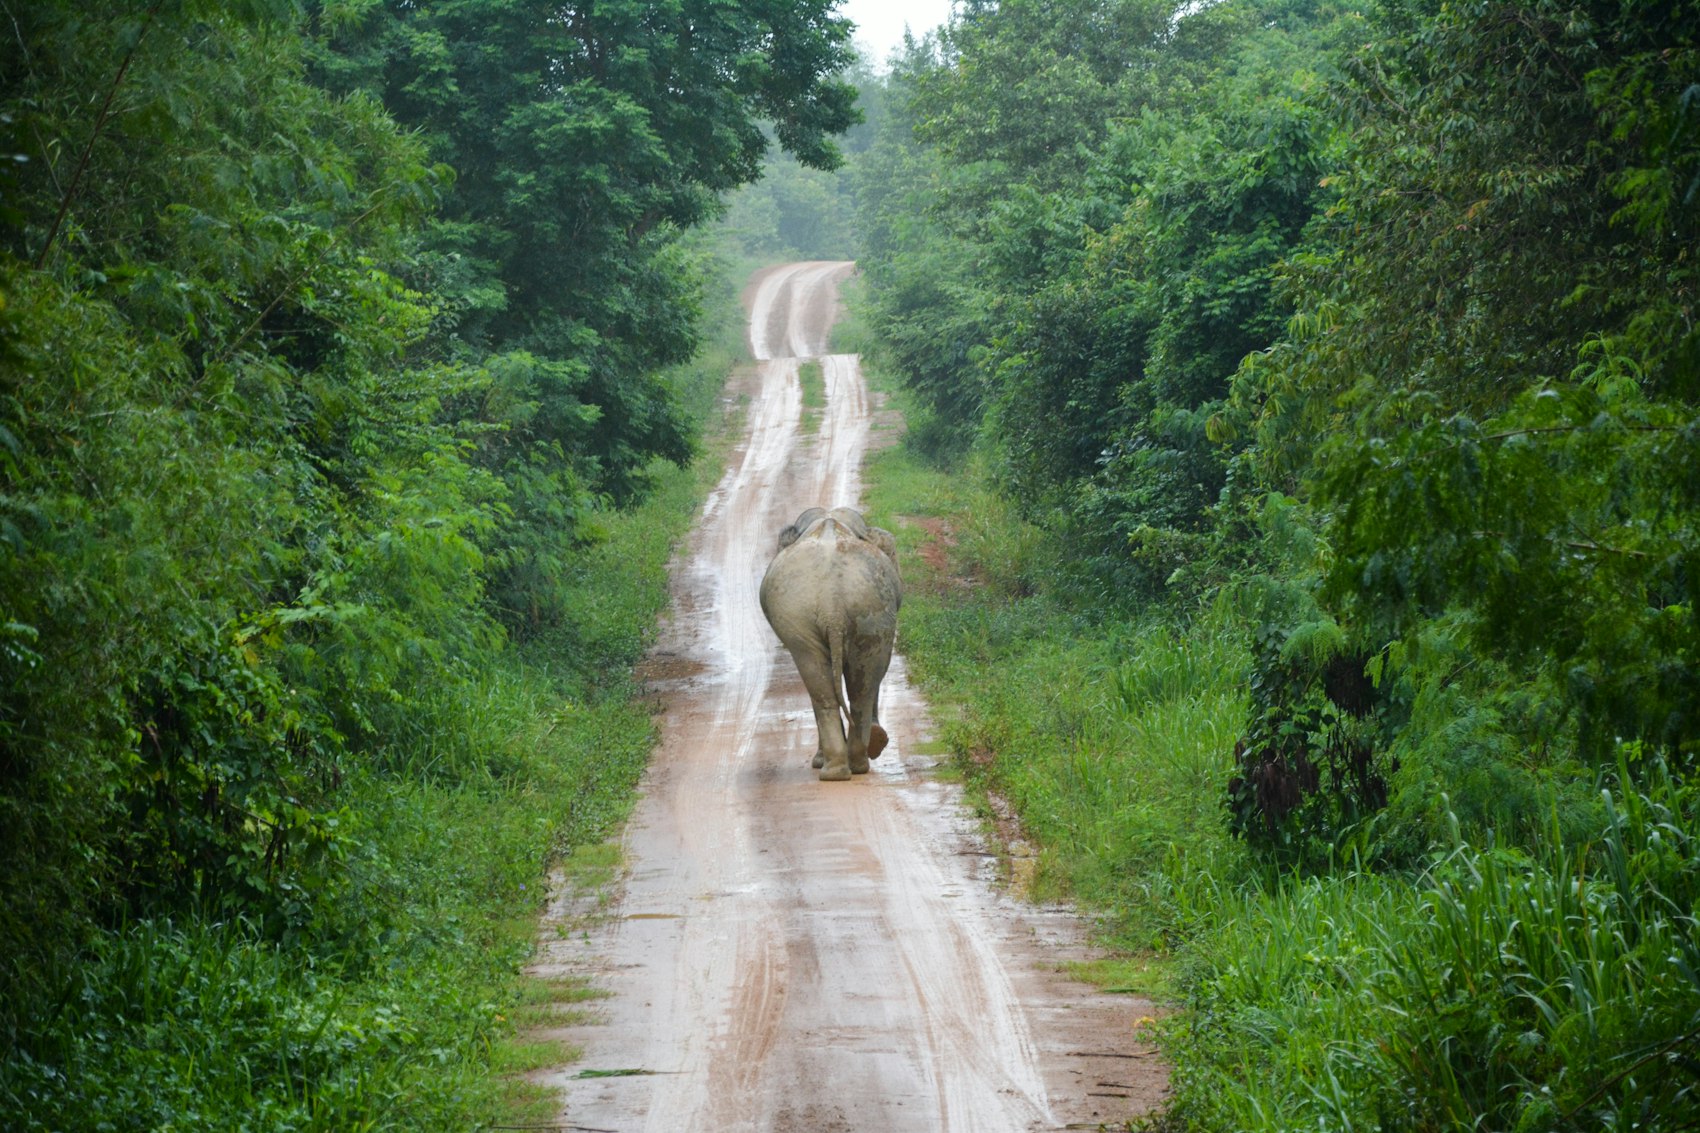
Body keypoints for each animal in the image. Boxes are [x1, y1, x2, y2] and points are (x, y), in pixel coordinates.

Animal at [759, 507, 902, 781]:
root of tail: (832, 606)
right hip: (864, 610)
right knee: (849, 686)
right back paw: (847, 767)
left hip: (859, 610)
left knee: (829, 684)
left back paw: (842, 767)